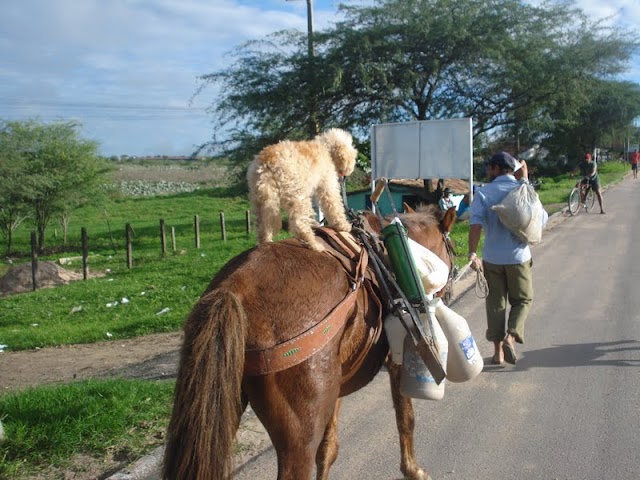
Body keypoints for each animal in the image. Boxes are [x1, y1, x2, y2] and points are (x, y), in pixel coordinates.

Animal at [162, 205, 458, 480]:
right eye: (452, 247)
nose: (449, 287)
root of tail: (234, 288)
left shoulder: (335, 388)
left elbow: (328, 449)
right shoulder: (399, 358)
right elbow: (405, 417)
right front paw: (413, 469)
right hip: (299, 435)